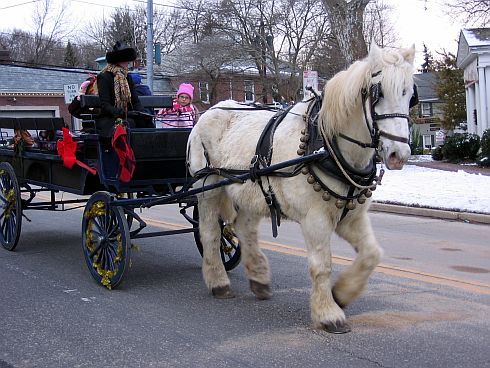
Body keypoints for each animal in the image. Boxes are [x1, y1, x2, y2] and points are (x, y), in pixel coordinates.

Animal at [186, 43, 416, 334]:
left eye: (410, 95)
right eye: (379, 93)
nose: (399, 154)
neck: (327, 146)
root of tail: (210, 111)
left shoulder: (352, 217)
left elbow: (372, 255)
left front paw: (342, 293)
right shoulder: (314, 219)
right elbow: (322, 265)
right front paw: (329, 313)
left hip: (251, 191)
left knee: (245, 229)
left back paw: (259, 278)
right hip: (208, 189)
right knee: (210, 233)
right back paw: (218, 282)